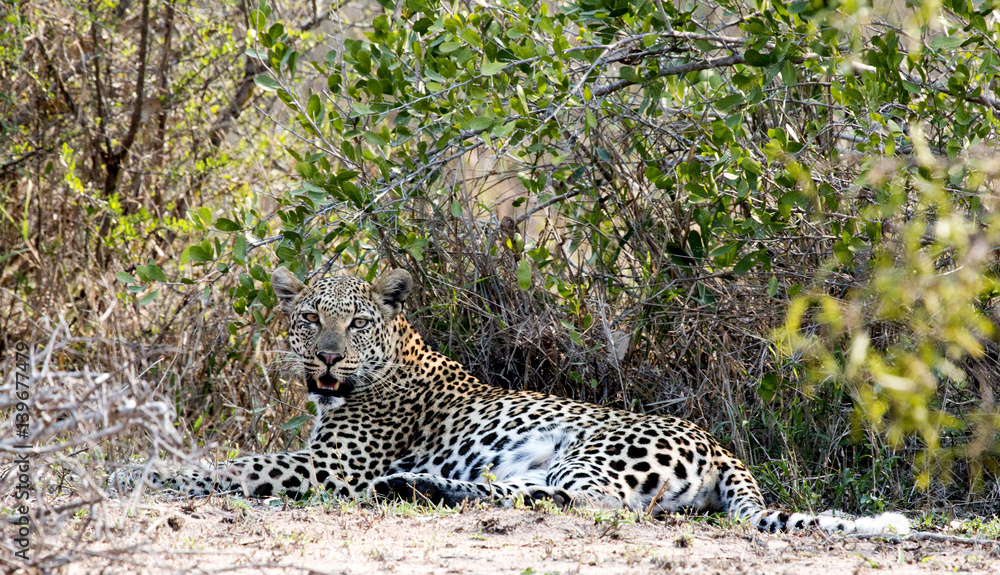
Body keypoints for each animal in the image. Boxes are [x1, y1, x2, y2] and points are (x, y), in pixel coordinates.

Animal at [116, 267, 909, 536]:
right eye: (310, 317)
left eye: (357, 321)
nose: (329, 357)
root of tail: (722, 446)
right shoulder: (325, 459)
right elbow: (230, 460)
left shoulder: (329, 467)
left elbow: (230, 465)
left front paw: (137, 472)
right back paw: (417, 486)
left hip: (589, 453)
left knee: (582, 502)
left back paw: (420, 488)